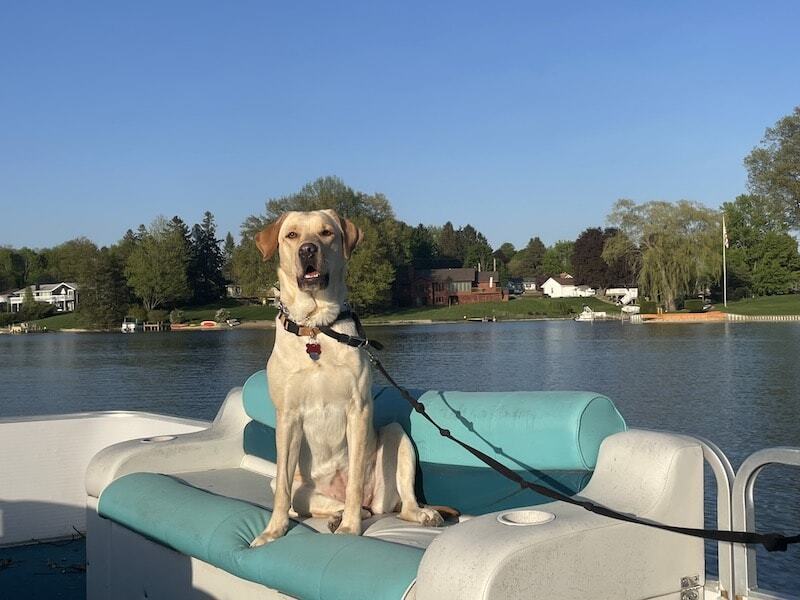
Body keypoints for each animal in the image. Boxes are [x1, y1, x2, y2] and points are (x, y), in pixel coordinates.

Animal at [248, 207, 444, 548]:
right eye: (292, 235)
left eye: (326, 233)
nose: (308, 250)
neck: (316, 328)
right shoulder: (287, 416)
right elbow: (282, 491)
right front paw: (273, 531)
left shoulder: (358, 409)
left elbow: (354, 480)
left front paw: (350, 528)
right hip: (301, 486)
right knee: (303, 496)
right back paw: (338, 515)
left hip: (396, 437)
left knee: (394, 504)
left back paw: (415, 514)